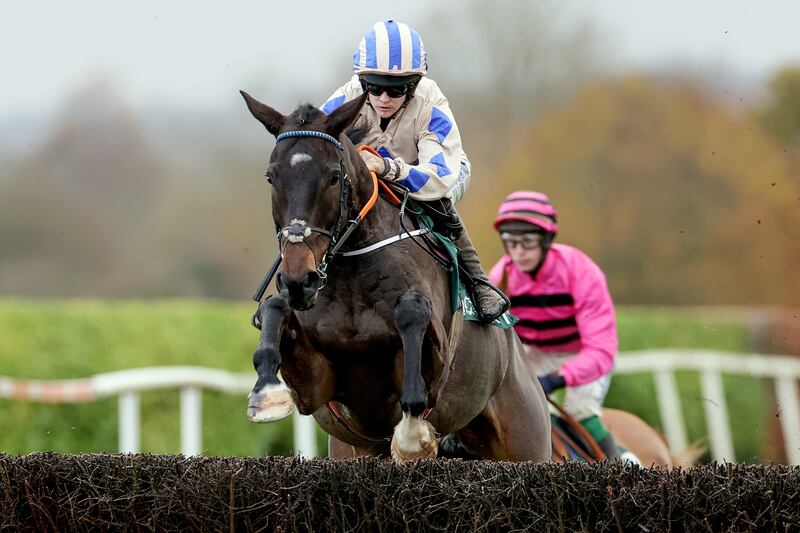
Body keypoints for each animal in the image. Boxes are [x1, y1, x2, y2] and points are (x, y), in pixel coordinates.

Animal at [238, 91, 552, 462]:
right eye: (271, 177)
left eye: (332, 176)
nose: (300, 280)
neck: (352, 280)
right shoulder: (317, 386)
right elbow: (273, 307)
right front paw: (266, 393)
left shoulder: (435, 362)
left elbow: (412, 311)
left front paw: (412, 434)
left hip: (526, 440)